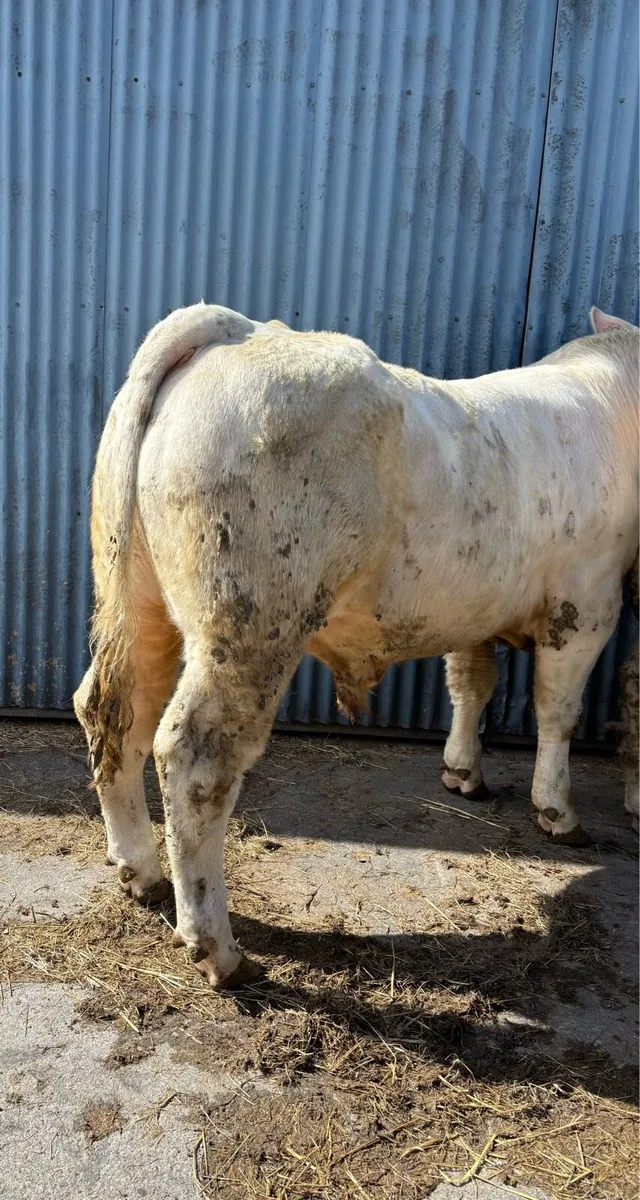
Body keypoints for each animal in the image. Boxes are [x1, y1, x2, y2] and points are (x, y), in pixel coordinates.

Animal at [74, 303, 639, 987]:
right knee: (194, 756)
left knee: (113, 712)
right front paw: (557, 810)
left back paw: (140, 870)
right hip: (251, 626)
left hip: (136, 597)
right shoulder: (587, 602)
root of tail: (234, 330)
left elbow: (472, 683)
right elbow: (558, 711)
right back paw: (217, 947)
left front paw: (463, 771)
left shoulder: (476, 609)